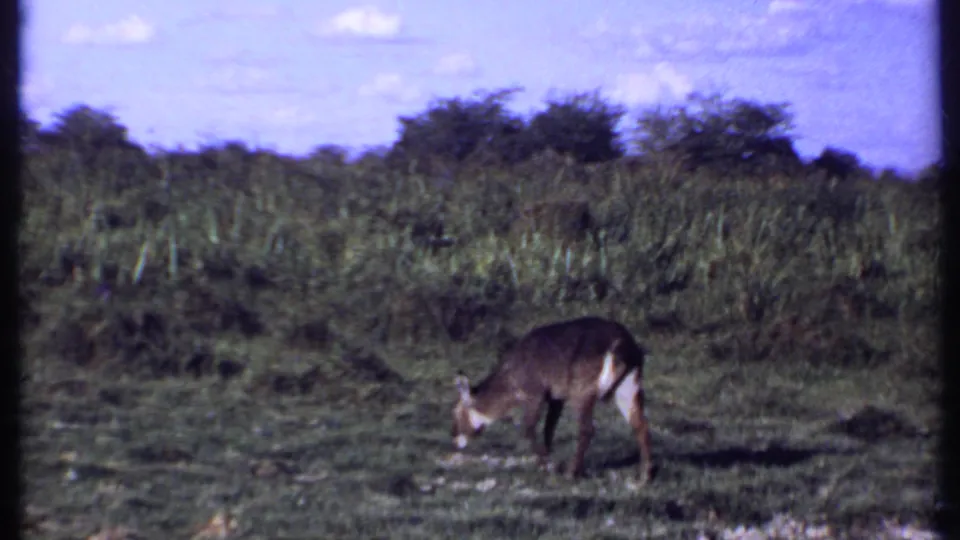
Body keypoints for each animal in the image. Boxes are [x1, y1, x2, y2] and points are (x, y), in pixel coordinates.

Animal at [450, 316, 652, 484]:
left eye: (456, 411)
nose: (454, 437)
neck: (510, 378)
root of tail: (624, 345)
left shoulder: (535, 394)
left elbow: (528, 428)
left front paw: (546, 465)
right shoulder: (556, 398)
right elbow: (549, 428)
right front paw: (547, 459)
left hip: (582, 392)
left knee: (587, 429)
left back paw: (572, 472)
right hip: (627, 387)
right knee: (640, 425)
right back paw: (645, 475)